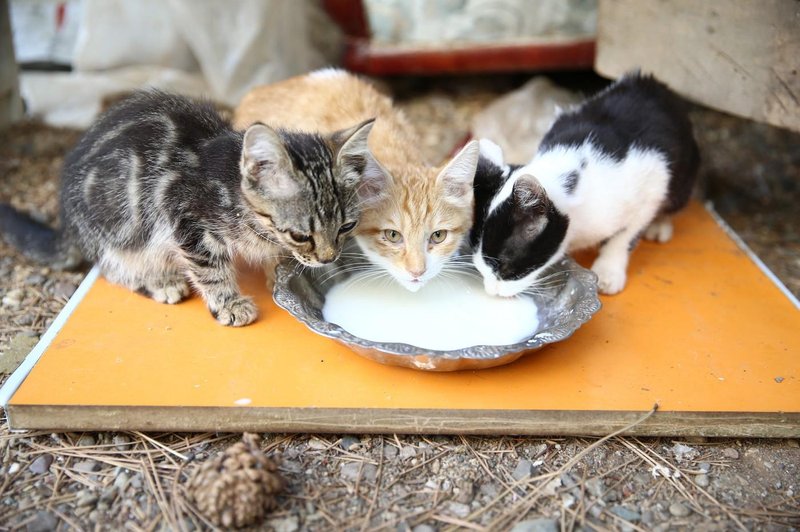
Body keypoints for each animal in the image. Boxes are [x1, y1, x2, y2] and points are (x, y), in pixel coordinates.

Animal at [0, 89, 382, 326]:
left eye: (346, 227)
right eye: (301, 235)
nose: (329, 258)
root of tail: (68, 220)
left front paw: (277, 268)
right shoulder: (183, 216)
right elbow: (209, 267)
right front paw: (229, 303)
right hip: (119, 227)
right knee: (110, 265)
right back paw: (158, 281)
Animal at [472, 72, 696, 296]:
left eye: (505, 266)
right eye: (479, 267)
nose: (491, 291)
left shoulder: (651, 180)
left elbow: (625, 235)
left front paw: (608, 271)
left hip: (683, 170)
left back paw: (660, 224)